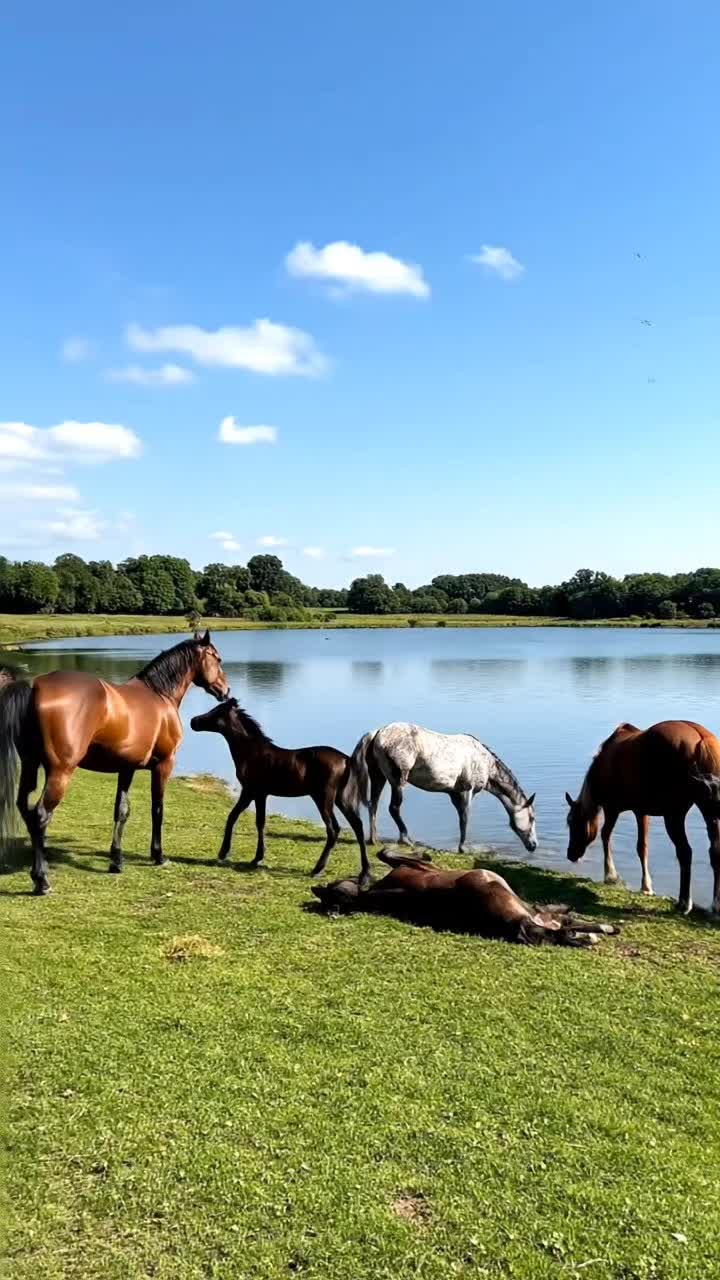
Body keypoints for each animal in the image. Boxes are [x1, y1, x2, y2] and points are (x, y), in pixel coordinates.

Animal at [0, 631, 229, 895]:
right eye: (217, 659)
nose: (226, 690)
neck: (160, 695)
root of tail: (34, 687)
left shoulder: (126, 768)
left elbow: (121, 811)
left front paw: (116, 861)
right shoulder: (163, 765)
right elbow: (157, 809)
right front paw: (158, 856)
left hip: (30, 765)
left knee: (25, 809)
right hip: (59, 772)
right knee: (40, 816)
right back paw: (42, 880)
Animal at [190, 699, 370, 883]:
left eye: (216, 711)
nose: (193, 721)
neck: (251, 752)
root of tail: (346, 759)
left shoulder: (251, 791)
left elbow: (240, 818)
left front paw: (228, 853)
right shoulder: (258, 794)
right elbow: (254, 820)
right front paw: (253, 857)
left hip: (324, 797)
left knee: (334, 829)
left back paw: (318, 869)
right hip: (340, 798)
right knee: (357, 825)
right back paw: (364, 873)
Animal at [312, 849, 618, 948]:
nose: (317, 888)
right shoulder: (417, 868)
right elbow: (387, 852)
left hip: (534, 912)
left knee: (561, 922)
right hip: (516, 903)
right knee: (560, 928)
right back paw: (598, 930)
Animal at [348, 722, 537, 855]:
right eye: (532, 818)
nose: (534, 845)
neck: (484, 761)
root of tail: (377, 733)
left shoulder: (453, 793)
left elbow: (461, 817)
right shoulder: (466, 791)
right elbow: (464, 819)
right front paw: (462, 848)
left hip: (378, 777)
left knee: (373, 804)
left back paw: (374, 839)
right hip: (397, 781)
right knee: (393, 808)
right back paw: (405, 839)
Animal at [565, 720, 720, 915]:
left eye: (572, 822)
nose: (570, 854)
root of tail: (701, 739)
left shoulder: (612, 809)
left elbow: (607, 835)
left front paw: (611, 875)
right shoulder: (641, 811)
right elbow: (643, 847)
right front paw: (646, 885)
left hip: (674, 815)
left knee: (685, 852)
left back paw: (684, 902)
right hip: (709, 812)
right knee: (715, 851)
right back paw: (715, 906)